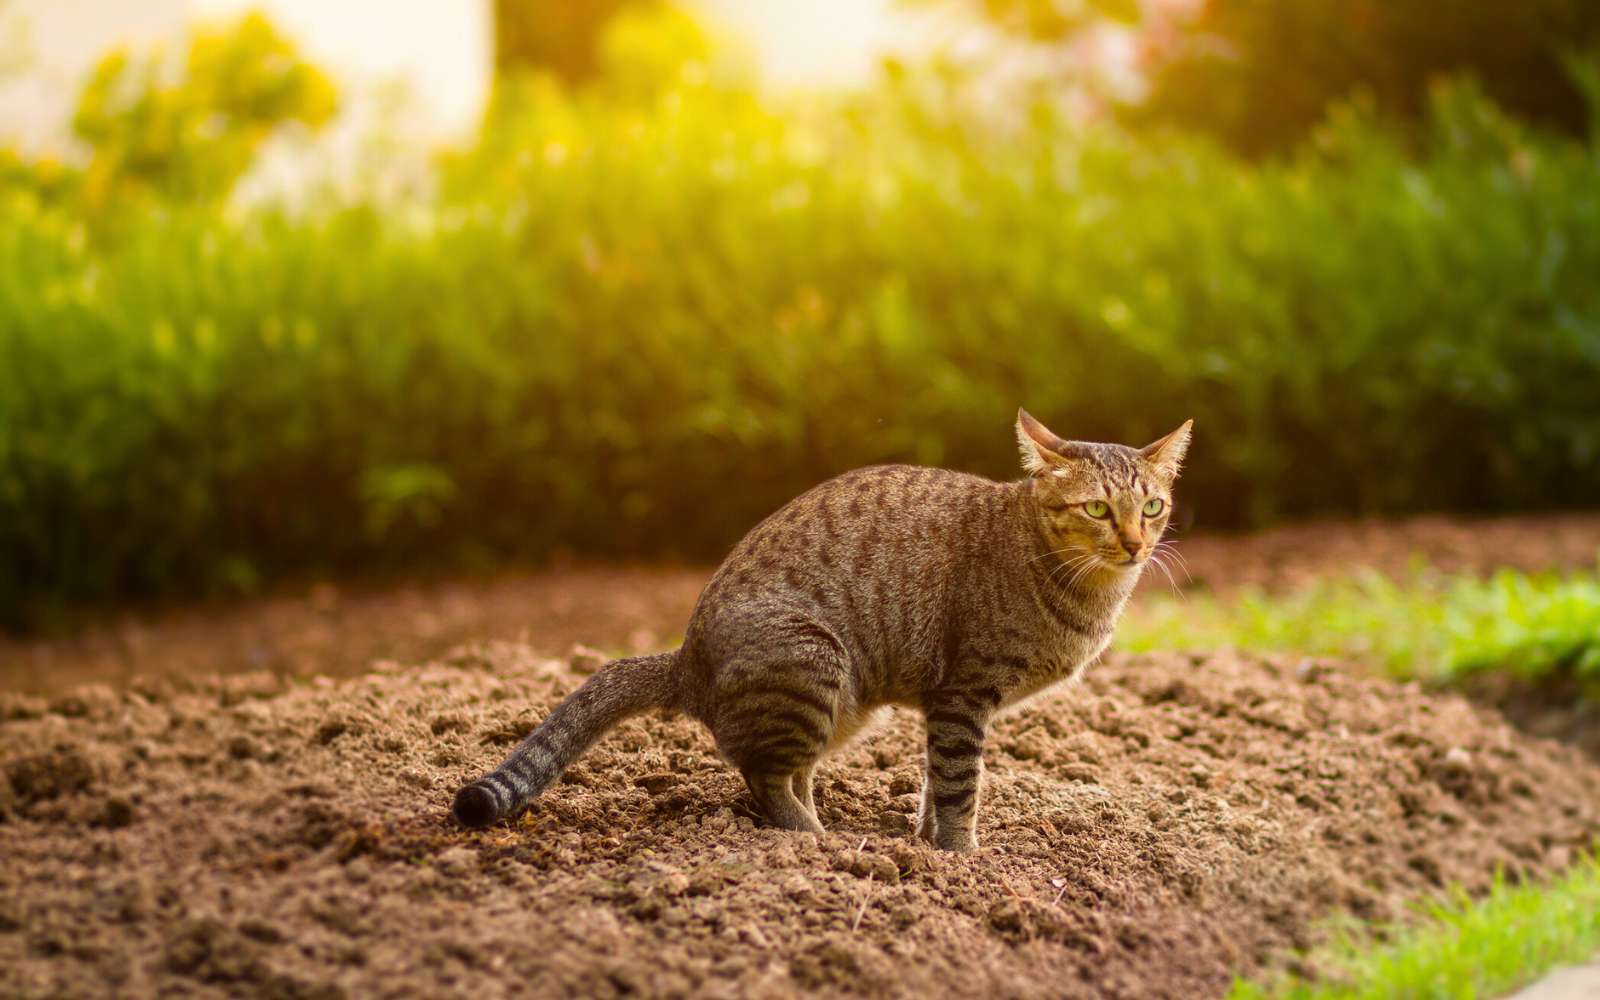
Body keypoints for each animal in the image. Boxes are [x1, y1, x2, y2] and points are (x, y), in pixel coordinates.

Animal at [454, 408, 1190, 851]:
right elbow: (960, 784)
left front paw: (925, 841)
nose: (1135, 544)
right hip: (814, 661)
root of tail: (686, 658)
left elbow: (935, 783)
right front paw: (961, 857)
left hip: (842, 704)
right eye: (1097, 509)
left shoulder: (945, 707)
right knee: (764, 776)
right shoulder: (963, 695)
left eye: (1152, 506)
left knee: (786, 768)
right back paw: (814, 841)